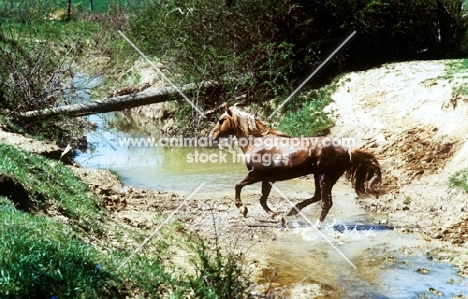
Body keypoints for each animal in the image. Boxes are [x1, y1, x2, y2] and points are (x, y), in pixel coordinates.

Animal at [210, 104, 382, 229]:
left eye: (221, 120)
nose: (212, 136)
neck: (256, 142)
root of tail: (347, 151)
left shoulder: (256, 174)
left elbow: (238, 186)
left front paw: (243, 209)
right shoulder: (267, 179)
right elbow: (262, 200)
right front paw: (280, 218)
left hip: (325, 177)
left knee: (326, 203)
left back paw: (315, 226)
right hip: (319, 176)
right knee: (317, 197)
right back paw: (293, 211)